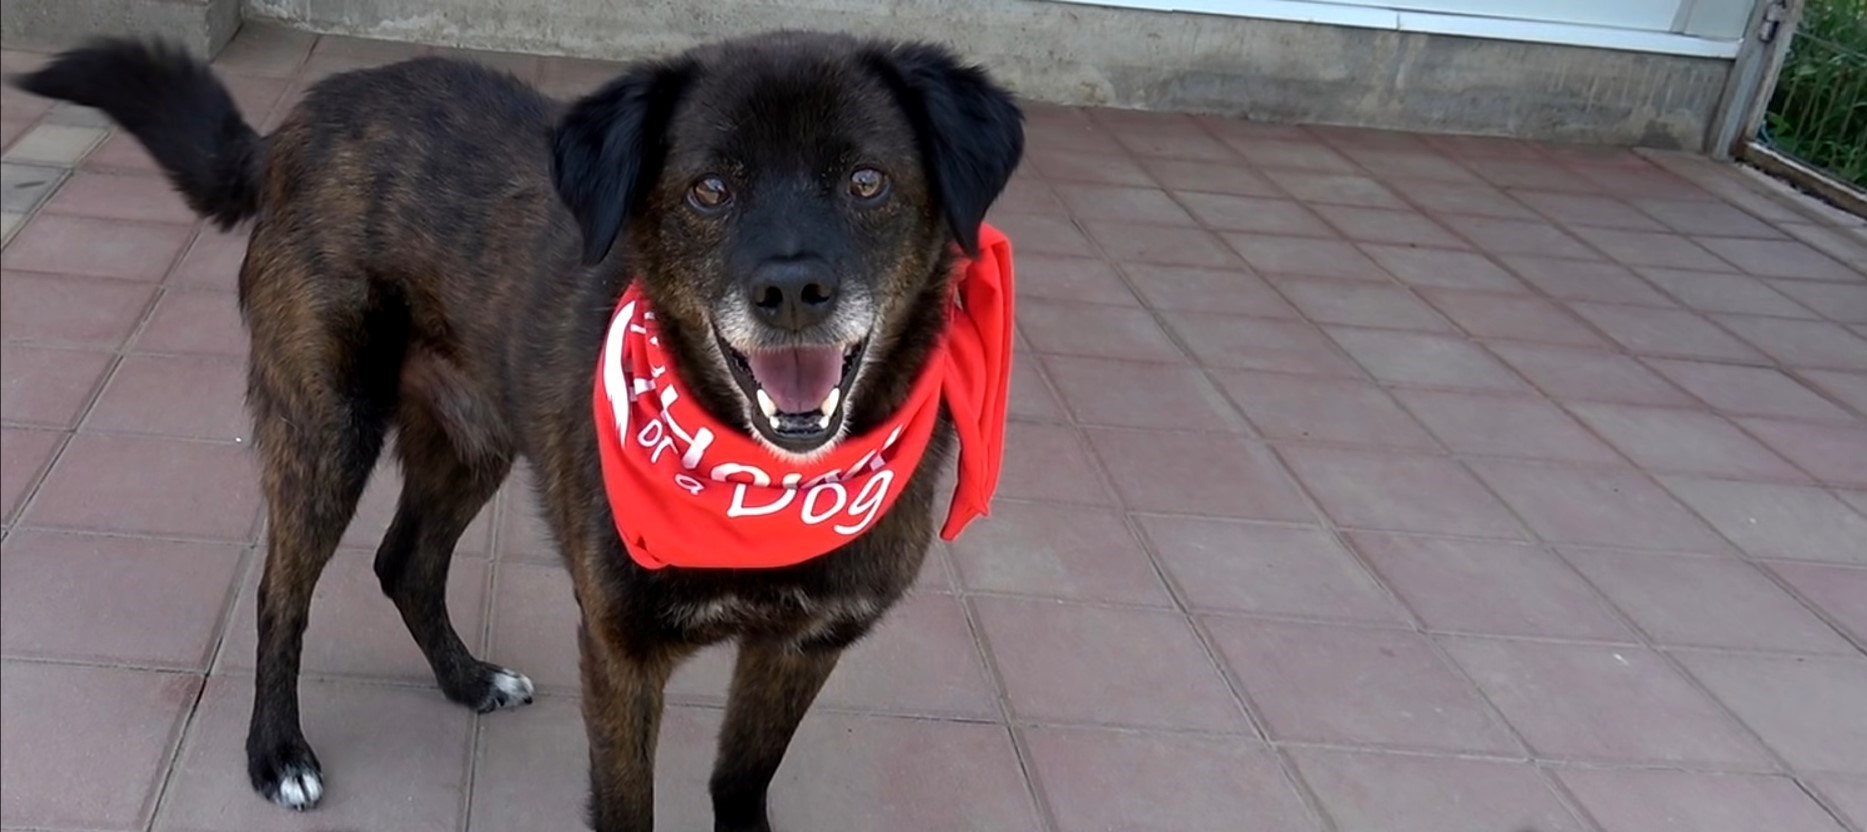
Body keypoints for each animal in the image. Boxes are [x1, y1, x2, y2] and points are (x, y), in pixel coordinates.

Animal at [14, 29, 1030, 828]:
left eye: (866, 180)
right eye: (708, 189)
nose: (790, 291)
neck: (759, 480)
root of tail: (290, 131)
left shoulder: (800, 647)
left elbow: (742, 781)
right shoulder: (620, 654)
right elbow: (626, 807)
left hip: (473, 441)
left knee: (404, 562)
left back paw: (468, 679)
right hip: (325, 427)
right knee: (279, 595)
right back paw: (279, 754)